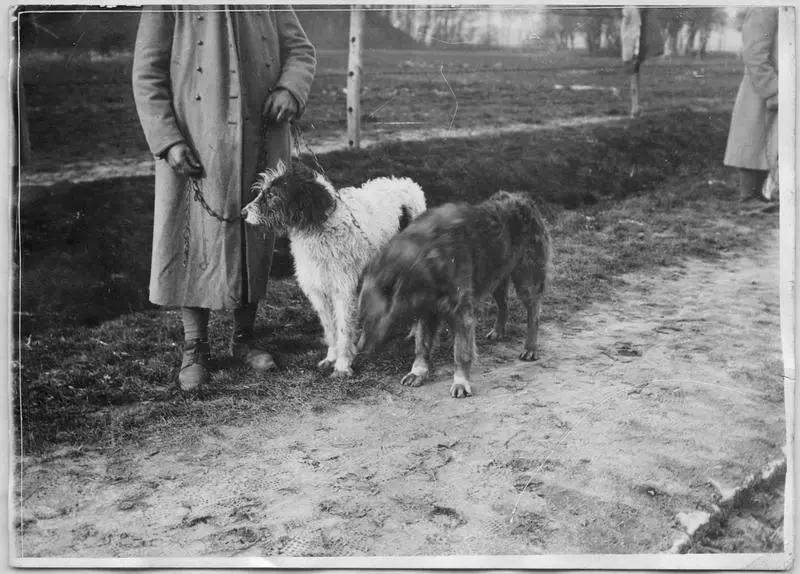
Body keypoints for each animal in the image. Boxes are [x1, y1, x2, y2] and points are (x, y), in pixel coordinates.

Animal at [239, 161, 424, 378]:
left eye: (272, 194)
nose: (243, 213)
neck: (319, 228)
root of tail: (408, 184)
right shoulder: (318, 292)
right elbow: (330, 328)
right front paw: (332, 357)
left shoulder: (343, 291)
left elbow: (343, 329)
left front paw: (343, 364)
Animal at [358, 191, 552, 398]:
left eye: (371, 320)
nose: (359, 350)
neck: (425, 260)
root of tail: (524, 199)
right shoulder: (426, 311)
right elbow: (421, 346)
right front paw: (417, 372)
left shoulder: (461, 312)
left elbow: (461, 352)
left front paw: (460, 381)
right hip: (495, 276)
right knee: (504, 304)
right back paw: (498, 331)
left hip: (527, 280)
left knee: (534, 314)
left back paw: (530, 348)